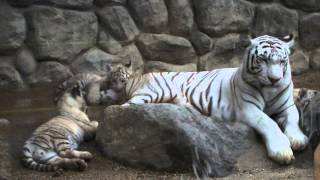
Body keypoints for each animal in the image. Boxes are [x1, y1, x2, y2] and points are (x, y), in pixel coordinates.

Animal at [122, 34, 308, 165]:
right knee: (125, 106)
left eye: (282, 61)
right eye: (262, 59)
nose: (275, 79)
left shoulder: (287, 106)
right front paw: (282, 151)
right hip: (155, 92)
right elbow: (269, 122)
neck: (268, 91)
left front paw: (298, 139)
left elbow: (294, 118)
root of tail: (143, 75)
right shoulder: (248, 108)